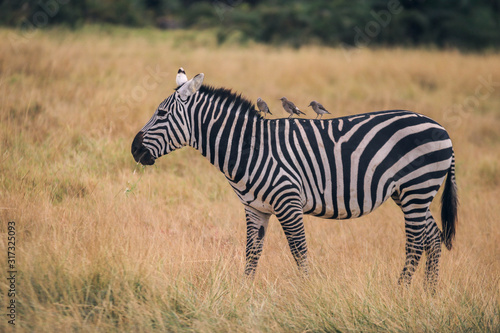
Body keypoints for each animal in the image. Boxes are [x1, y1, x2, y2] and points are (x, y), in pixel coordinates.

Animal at [132, 70, 458, 288]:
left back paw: (400, 291)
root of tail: (442, 128)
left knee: (415, 243)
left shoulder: (288, 201)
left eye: (161, 114)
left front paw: (307, 292)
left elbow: (298, 251)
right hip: (410, 193)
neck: (249, 147)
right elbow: (252, 252)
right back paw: (428, 294)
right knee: (432, 237)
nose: (134, 149)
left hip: (417, 187)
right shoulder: (255, 208)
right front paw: (244, 293)